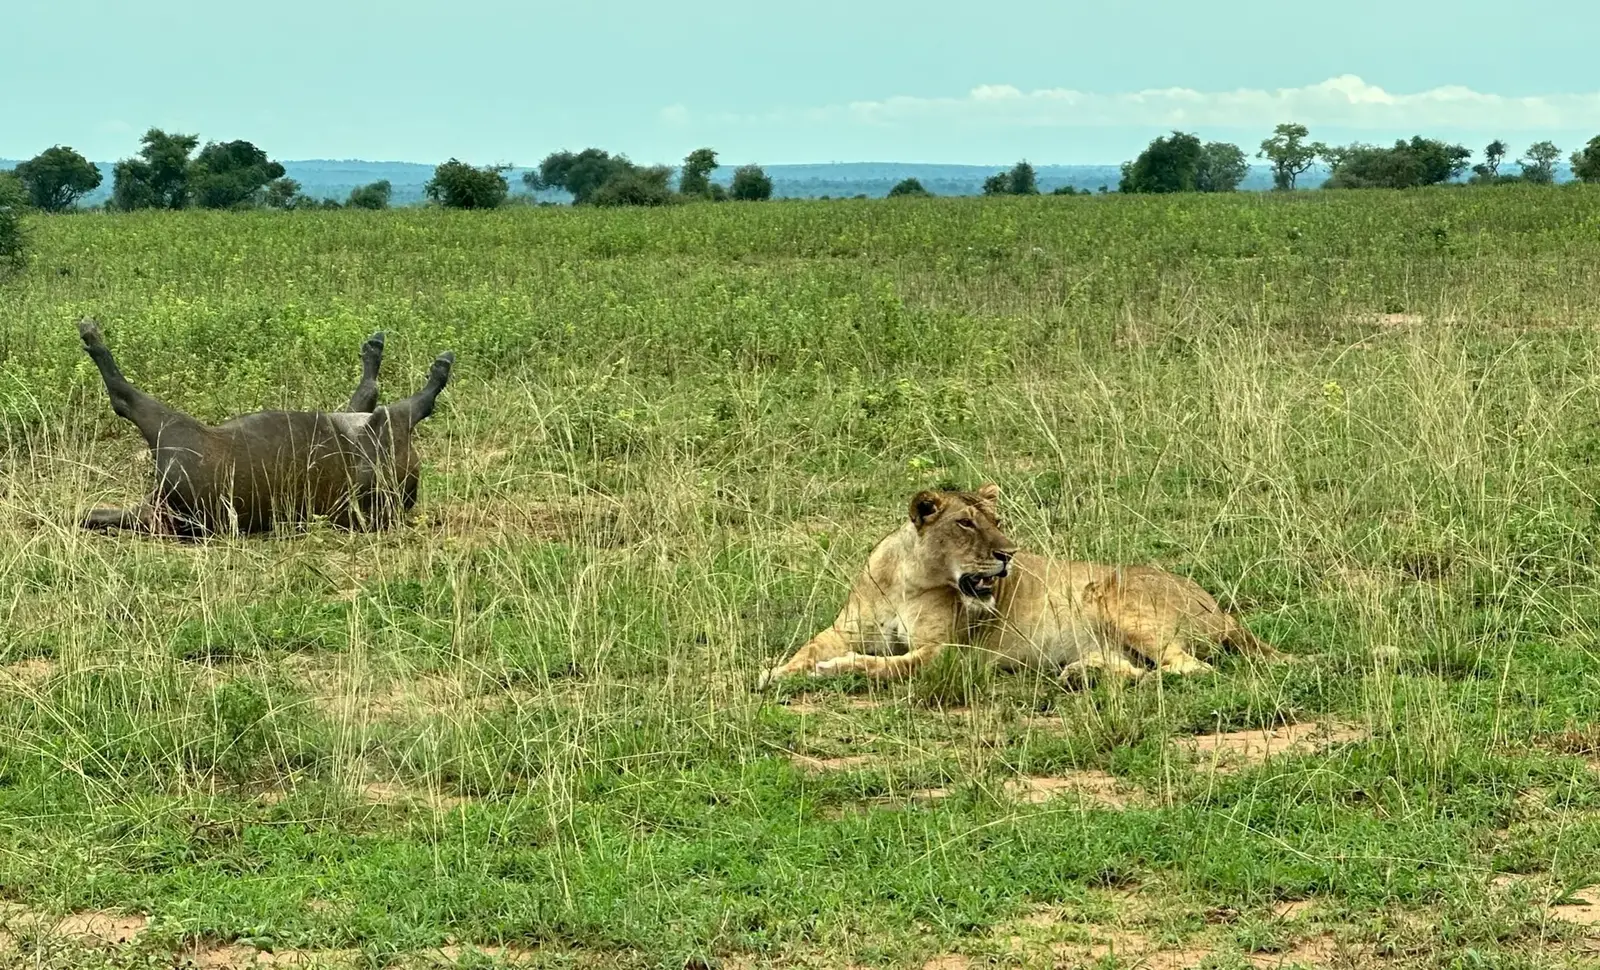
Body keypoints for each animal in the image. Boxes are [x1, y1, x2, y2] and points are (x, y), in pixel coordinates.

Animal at [758, 484, 1280, 688]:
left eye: (997, 521)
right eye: (966, 523)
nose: (1009, 553)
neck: (909, 579)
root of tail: (1222, 609)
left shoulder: (947, 653)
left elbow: (884, 665)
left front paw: (835, 669)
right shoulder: (842, 629)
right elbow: (808, 648)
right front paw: (773, 673)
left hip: (1110, 594)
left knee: (1189, 669)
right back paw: (1082, 674)